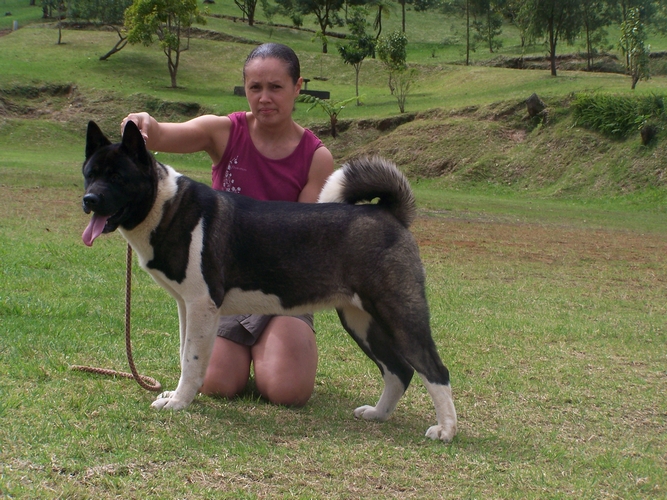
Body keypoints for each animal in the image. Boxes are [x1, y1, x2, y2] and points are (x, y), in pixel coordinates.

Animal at [78, 120, 456, 442]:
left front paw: (178, 403)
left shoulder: (202, 305)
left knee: (433, 369)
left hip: (399, 314)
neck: (164, 204)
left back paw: (446, 430)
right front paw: (179, 395)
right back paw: (378, 414)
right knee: (398, 371)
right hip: (360, 320)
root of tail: (388, 212)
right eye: (90, 174)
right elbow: (185, 353)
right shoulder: (187, 306)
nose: (89, 199)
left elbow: (193, 360)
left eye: (117, 177)